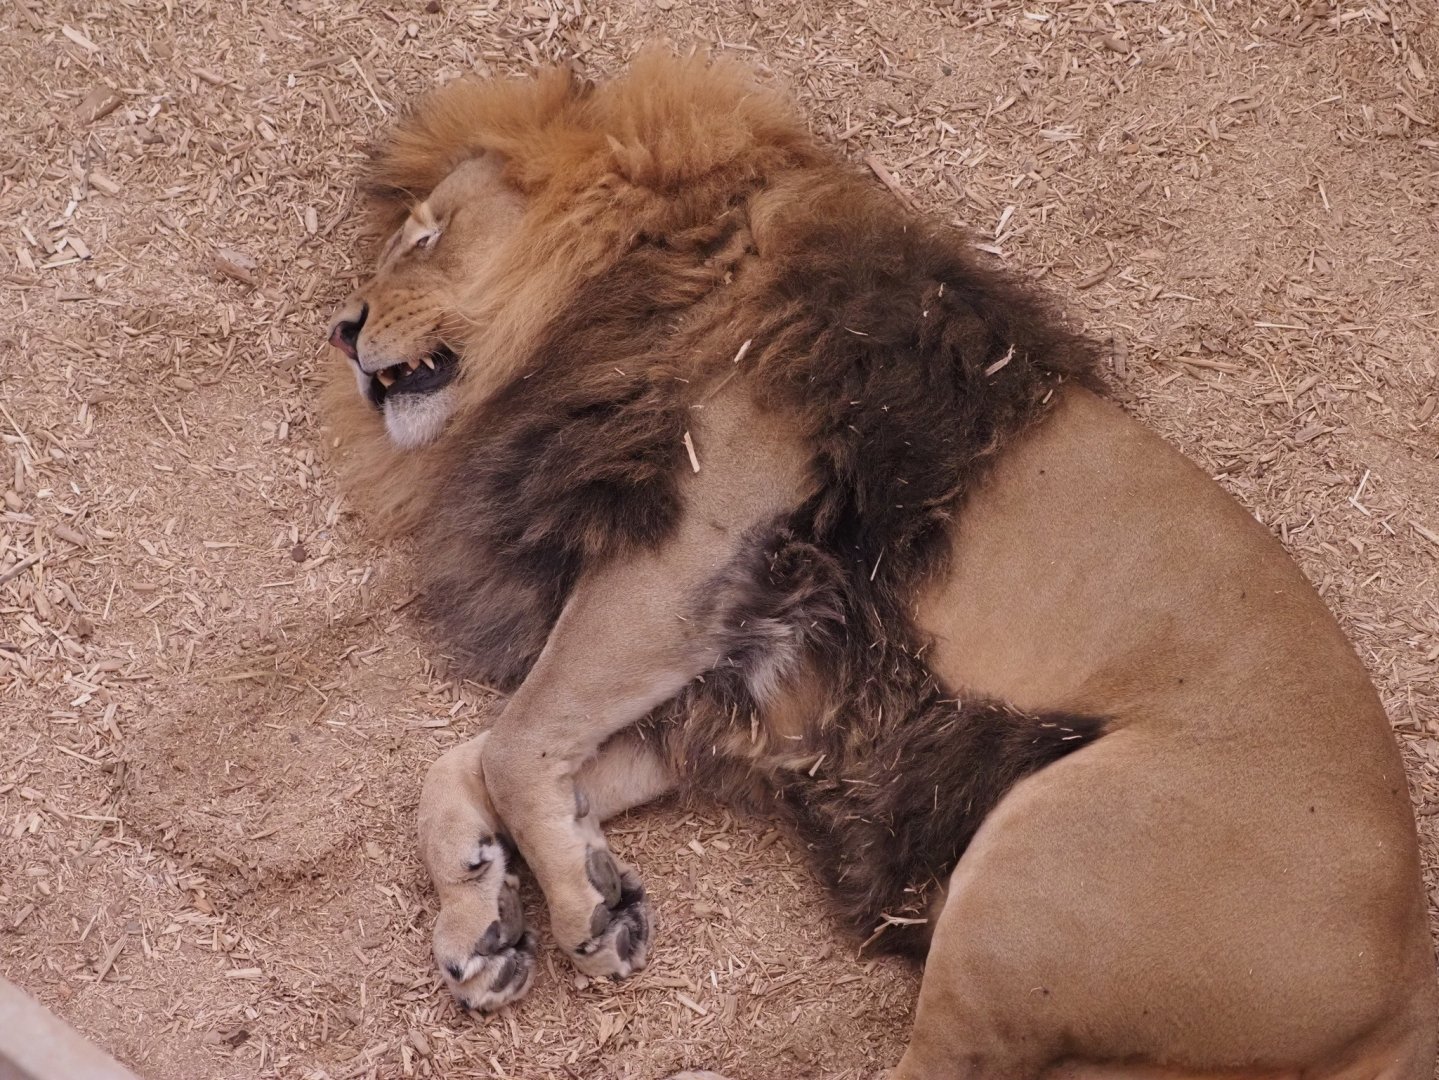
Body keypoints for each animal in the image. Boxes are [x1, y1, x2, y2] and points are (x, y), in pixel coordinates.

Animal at [323, 52, 1436, 1079]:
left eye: (425, 234)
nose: (342, 328)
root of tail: (1403, 996)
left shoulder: (689, 545)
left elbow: (517, 744)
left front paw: (580, 910)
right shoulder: (748, 678)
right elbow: (481, 761)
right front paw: (489, 920)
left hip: (1033, 875)